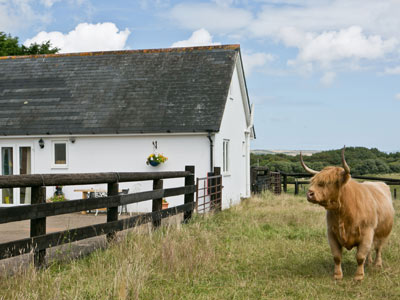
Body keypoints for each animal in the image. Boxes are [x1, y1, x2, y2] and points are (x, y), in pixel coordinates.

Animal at [300, 148, 394, 282]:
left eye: (328, 182)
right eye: (314, 181)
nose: (309, 193)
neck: (343, 213)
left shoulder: (367, 233)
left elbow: (360, 256)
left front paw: (358, 276)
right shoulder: (331, 233)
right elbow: (337, 256)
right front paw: (337, 275)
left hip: (382, 232)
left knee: (378, 248)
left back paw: (377, 265)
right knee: (371, 250)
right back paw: (369, 263)